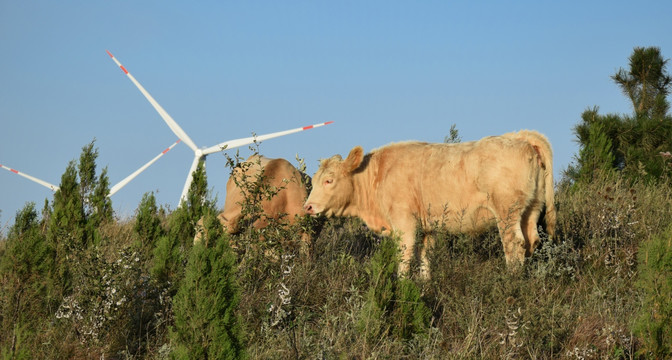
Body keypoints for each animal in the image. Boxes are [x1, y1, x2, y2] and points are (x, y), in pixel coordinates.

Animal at [304, 131, 556, 278]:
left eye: (329, 180)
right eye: (314, 180)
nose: (308, 207)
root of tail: (520, 137)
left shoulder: (404, 222)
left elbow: (405, 256)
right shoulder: (429, 227)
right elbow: (426, 257)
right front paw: (425, 285)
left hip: (506, 212)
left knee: (514, 244)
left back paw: (512, 281)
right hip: (532, 209)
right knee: (532, 241)